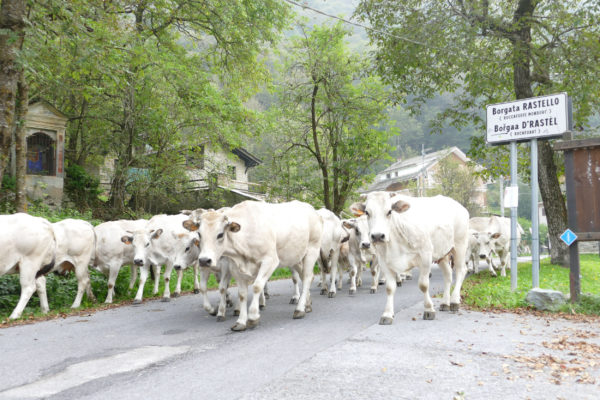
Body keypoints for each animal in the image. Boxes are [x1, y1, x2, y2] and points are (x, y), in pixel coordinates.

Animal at [184, 200, 324, 332]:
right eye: (199, 234)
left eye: (220, 234)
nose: (204, 260)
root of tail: (312, 210)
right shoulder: (235, 267)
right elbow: (242, 294)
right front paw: (241, 321)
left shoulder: (270, 260)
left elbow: (257, 287)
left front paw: (252, 317)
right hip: (295, 257)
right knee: (305, 276)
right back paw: (307, 304)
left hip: (312, 250)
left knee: (307, 278)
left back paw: (300, 309)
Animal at [350, 192, 472, 324]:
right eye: (367, 212)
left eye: (389, 211)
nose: (377, 236)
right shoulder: (384, 262)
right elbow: (389, 288)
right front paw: (387, 314)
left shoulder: (425, 256)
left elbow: (423, 285)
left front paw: (429, 310)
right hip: (442, 253)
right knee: (448, 275)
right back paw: (445, 303)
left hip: (460, 245)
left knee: (460, 271)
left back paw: (454, 301)